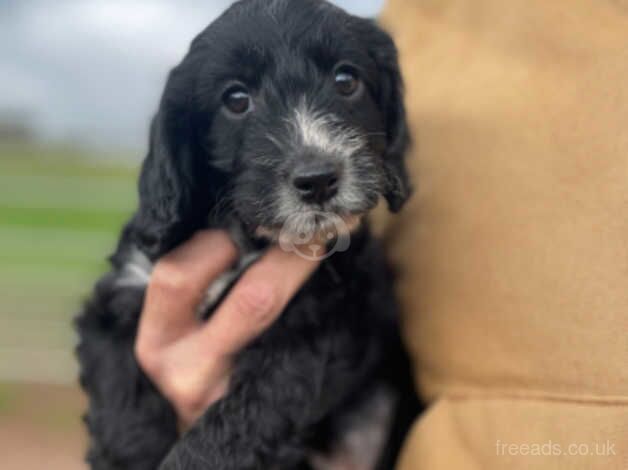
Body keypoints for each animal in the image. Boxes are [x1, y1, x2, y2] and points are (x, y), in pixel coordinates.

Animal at [76, 1, 418, 468]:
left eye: (346, 80)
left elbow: (246, 415)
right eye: (236, 100)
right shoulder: (121, 297)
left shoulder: (315, 328)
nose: (317, 179)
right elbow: (122, 403)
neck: (247, 235)